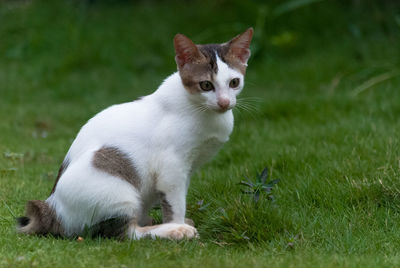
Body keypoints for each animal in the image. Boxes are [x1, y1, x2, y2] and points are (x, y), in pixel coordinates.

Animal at [17, 27, 253, 241]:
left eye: (234, 82)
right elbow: (175, 202)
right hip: (116, 187)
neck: (202, 111)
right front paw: (177, 224)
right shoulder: (172, 167)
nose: (224, 102)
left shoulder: (188, 167)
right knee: (125, 234)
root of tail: (52, 208)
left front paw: (176, 220)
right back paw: (170, 231)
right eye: (205, 85)